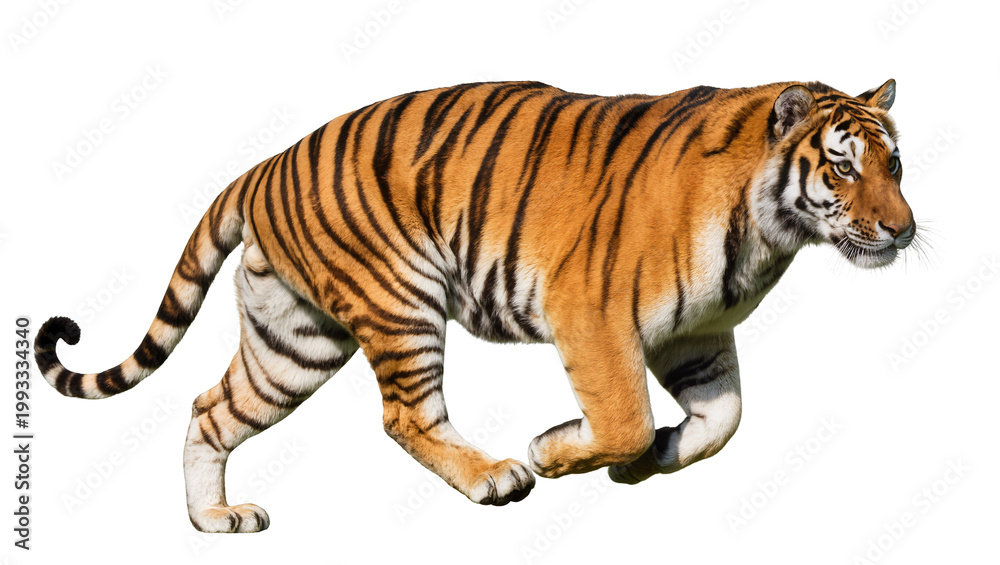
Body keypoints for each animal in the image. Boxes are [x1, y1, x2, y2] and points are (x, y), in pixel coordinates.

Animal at [35, 79, 915, 532]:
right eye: (842, 167)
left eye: (896, 163)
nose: (903, 229)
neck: (769, 233)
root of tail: (266, 164)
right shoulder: (591, 314)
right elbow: (625, 413)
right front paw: (558, 451)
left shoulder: (694, 334)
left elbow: (722, 422)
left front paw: (644, 463)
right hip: (401, 300)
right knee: (404, 415)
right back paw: (495, 475)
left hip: (293, 342)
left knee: (210, 407)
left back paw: (213, 519)